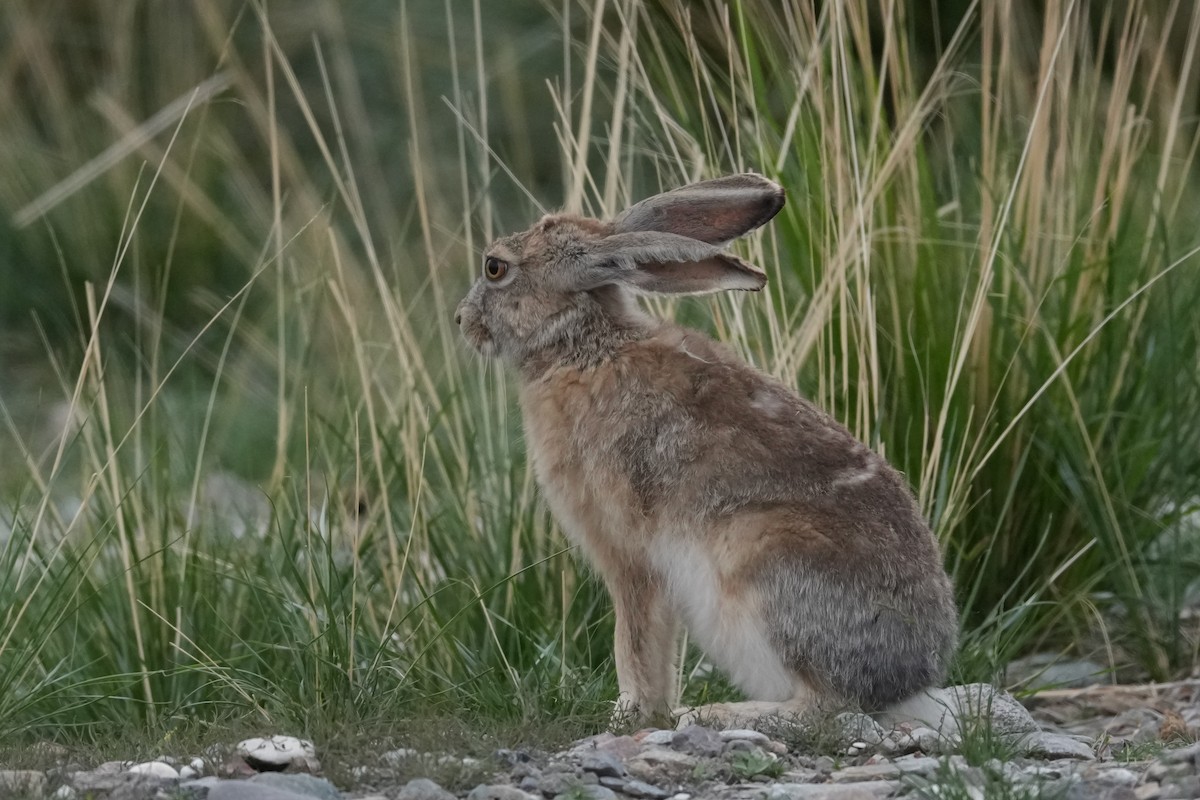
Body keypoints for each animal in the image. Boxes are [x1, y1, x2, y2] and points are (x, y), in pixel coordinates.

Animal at [455, 173, 959, 727]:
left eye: (495, 267)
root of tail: (907, 682)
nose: (461, 320)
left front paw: (630, 715)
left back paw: (715, 713)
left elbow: (633, 640)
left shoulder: (627, 552)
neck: (581, 347)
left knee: (826, 706)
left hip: (759, 559)